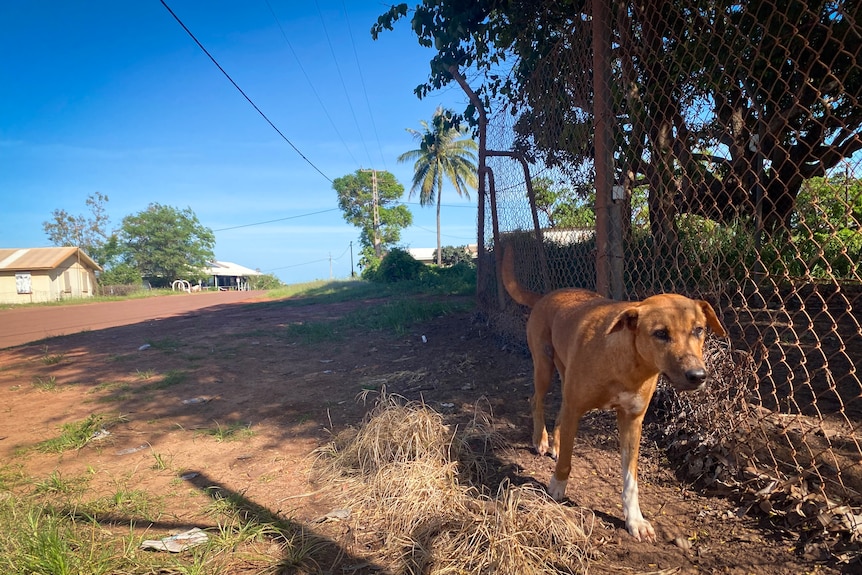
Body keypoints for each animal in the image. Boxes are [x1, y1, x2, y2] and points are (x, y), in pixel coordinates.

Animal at [502, 246, 724, 540]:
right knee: (537, 400)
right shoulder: (577, 406)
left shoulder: (632, 421)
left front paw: (635, 520)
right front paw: (557, 488)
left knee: (559, 409)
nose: (698, 376)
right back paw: (542, 439)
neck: (628, 363)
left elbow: (631, 480)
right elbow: (567, 461)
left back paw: (556, 443)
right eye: (660, 334)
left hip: (564, 376)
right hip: (544, 367)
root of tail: (547, 295)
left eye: (699, 330)